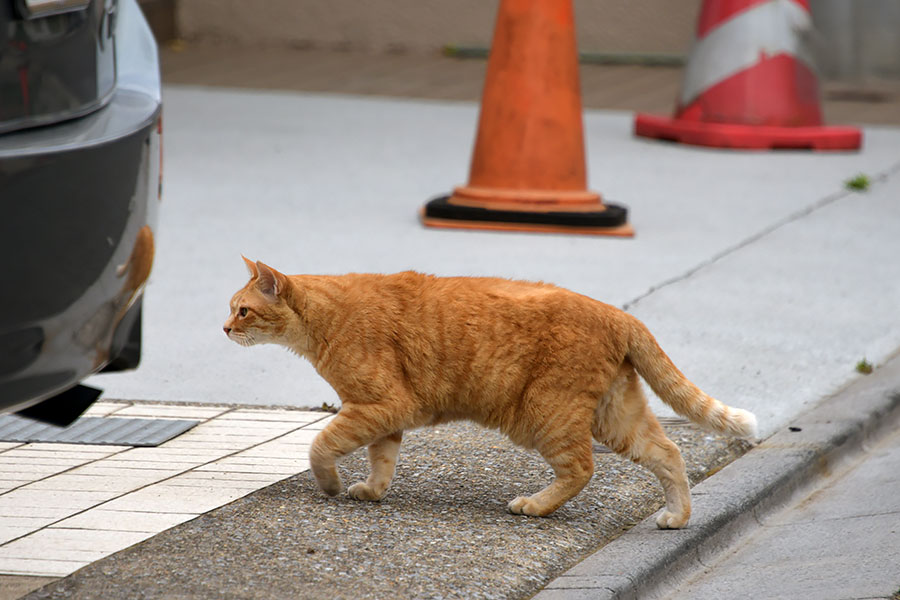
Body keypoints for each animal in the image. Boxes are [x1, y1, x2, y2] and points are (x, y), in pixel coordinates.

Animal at [225, 258, 760, 524]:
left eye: (243, 310)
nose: (224, 328)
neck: (326, 317)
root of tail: (618, 313)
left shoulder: (380, 404)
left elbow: (321, 445)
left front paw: (331, 485)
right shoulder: (386, 416)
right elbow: (382, 459)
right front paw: (372, 492)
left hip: (547, 414)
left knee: (581, 467)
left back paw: (535, 506)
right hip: (618, 415)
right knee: (668, 453)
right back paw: (677, 517)